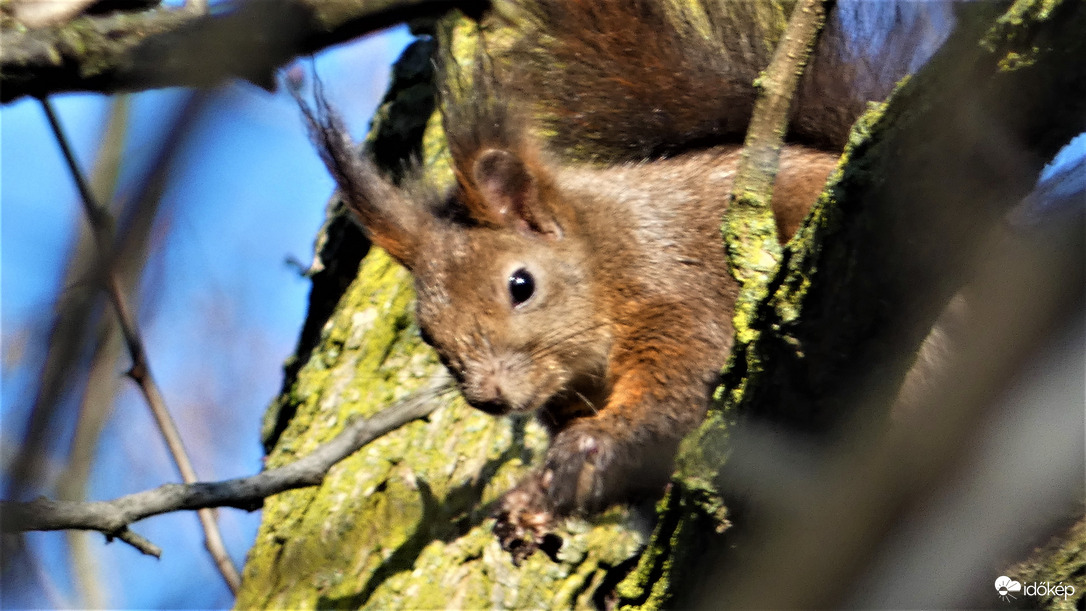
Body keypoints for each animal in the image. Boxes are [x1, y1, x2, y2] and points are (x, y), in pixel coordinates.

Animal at [297, 0, 933, 564]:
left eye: (521, 285)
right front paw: (534, 499)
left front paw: (590, 445)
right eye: (428, 334)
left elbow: (677, 394)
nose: (487, 397)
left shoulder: (680, 293)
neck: (607, 261)